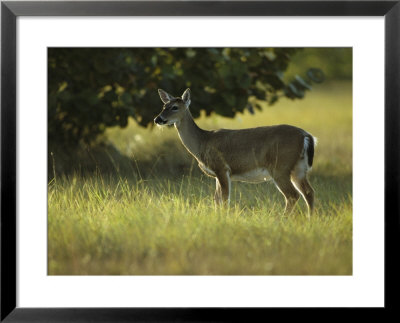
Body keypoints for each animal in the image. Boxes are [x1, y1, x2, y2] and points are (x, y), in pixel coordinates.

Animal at [154, 87, 316, 216]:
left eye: (175, 107)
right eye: (164, 105)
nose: (158, 119)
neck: (202, 142)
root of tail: (306, 136)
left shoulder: (221, 167)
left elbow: (225, 199)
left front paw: (223, 219)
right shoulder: (217, 174)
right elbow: (216, 199)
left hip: (280, 166)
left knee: (292, 195)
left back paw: (283, 220)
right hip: (298, 168)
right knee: (309, 192)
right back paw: (310, 220)